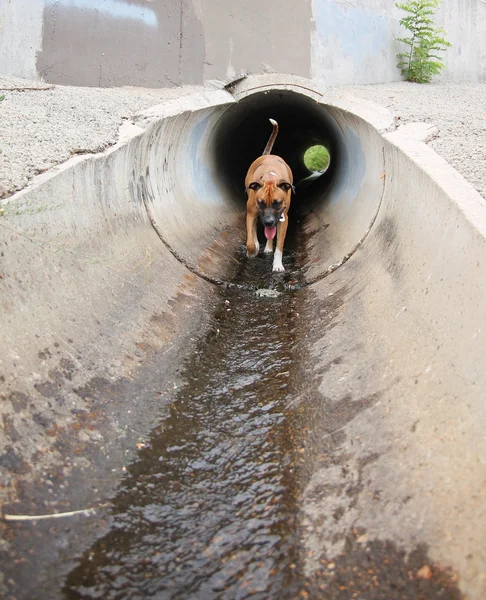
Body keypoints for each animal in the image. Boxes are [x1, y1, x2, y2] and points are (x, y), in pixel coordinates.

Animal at [245, 118, 294, 272]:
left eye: (277, 203)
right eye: (260, 202)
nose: (268, 221)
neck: (270, 179)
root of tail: (268, 155)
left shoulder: (284, 219)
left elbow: (279, 246)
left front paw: (277, 265)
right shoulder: (251, 213)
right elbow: (250, 241)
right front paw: (253, 250)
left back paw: (268, 247)